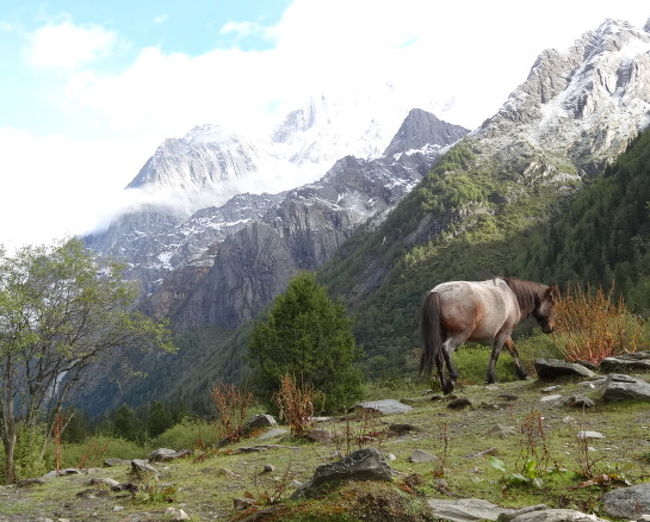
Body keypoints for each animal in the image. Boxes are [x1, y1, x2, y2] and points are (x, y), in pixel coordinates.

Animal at [418, 276, 560, 390]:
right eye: (552, 303)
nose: (551, 328)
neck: (512, 296)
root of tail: (437, 292)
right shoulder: (504, 332)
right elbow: (495, 353)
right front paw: (490, 378)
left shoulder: (505, 333)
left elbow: (514, 352)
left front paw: (523, 374)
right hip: (460, 334)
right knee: (446, 349)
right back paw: (452, 379)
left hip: (441, 335)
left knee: (438, 355)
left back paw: (444, 386)